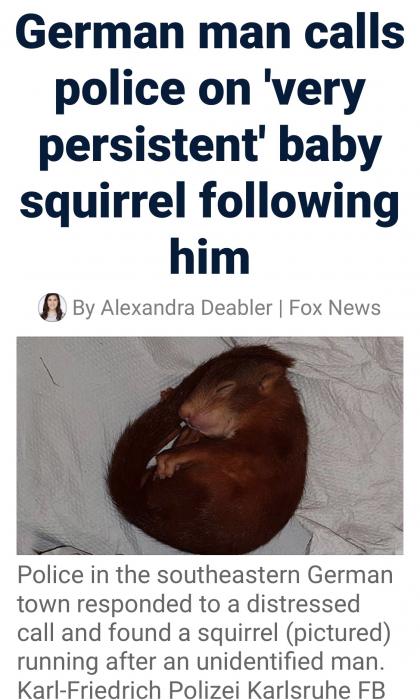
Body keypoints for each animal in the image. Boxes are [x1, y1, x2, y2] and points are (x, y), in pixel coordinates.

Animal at [107, 345, 307, 554]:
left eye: (224, 388)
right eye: (199, 383)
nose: (184, 412)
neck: (273, 413)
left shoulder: (266, 447)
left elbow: (218, 452)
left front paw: (171, 458)